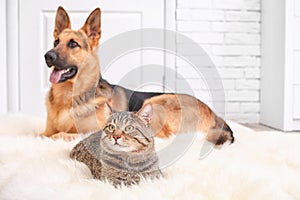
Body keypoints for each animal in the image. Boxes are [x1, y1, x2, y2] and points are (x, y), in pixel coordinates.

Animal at [42, 7, 234, 146]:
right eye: (56, 42)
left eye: (73, 44)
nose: (48, 56)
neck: (68, 97)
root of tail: (213, 113)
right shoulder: (46, 130)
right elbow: (43, 134)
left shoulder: (91, 131)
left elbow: (59, 135)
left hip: (155, 102)